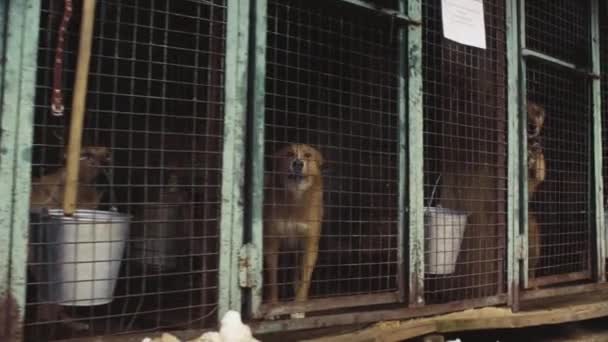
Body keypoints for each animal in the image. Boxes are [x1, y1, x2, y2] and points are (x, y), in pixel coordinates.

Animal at [264, 143, 326, 320]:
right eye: (289, 154)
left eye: (308, 155)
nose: (298, 163)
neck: (295, 197)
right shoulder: (271, 243)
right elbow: (273, 280)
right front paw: (273, 307)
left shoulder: (310, 245)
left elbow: (305, 280)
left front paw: (298, 308)